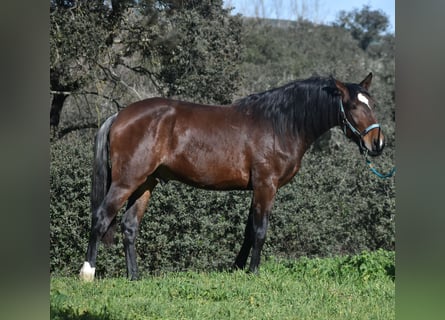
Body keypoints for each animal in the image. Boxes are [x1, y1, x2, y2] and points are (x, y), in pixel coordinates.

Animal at [79, 72, 382, 280]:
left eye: (373, 104)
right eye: (353, 107)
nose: (377, 144)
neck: (279, 124)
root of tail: (119, 115)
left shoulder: (257, 188)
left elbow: (249, 231)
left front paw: (237, 269)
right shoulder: (266, 185)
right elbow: (260, 230)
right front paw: (254, 272)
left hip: (145, 183)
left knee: (129, 226)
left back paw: (135, 277)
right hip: (125, 182)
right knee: (101, 217)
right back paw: (87, 272)